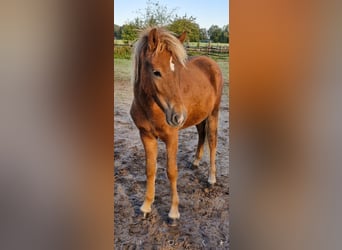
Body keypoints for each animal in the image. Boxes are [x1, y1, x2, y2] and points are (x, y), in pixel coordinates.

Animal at [130, 26, 223, 223]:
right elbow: (150, 169)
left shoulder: (172, 137)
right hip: (199, 117)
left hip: (213, 113)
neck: (152, 108)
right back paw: (195, 162)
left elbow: (171, 171)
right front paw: (146, 206)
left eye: (178, 72)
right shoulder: (146, 136)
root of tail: (211, 62)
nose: (178, 116)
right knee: (201, 135)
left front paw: (173, 213)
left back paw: (211, 179)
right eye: (156, 72)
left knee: (212, 141)